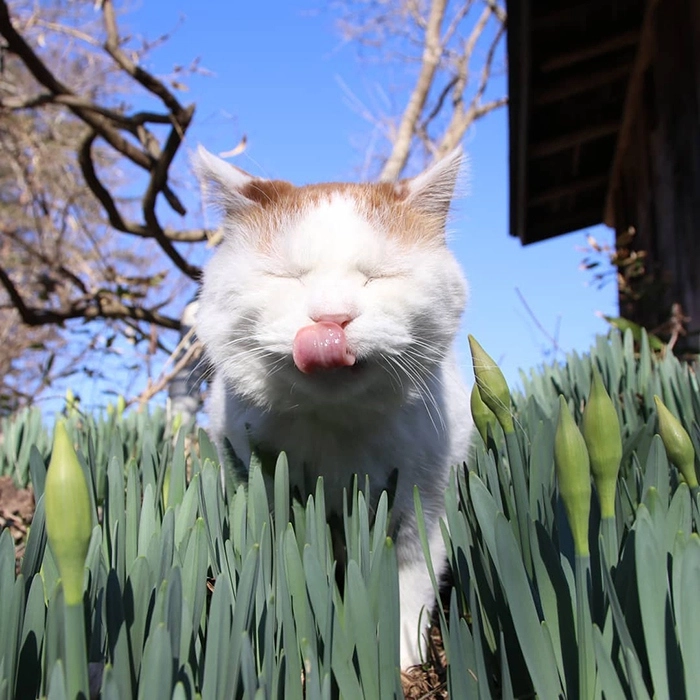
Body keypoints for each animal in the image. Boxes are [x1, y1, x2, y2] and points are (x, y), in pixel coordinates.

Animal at [194, 146, 472, 668]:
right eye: (288, 278)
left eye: (378, 278)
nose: (330, 321)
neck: (332, 427)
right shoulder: (261, 493)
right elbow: (284, 580)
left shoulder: (419, 508)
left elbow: (408, 587)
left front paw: (400, 663)